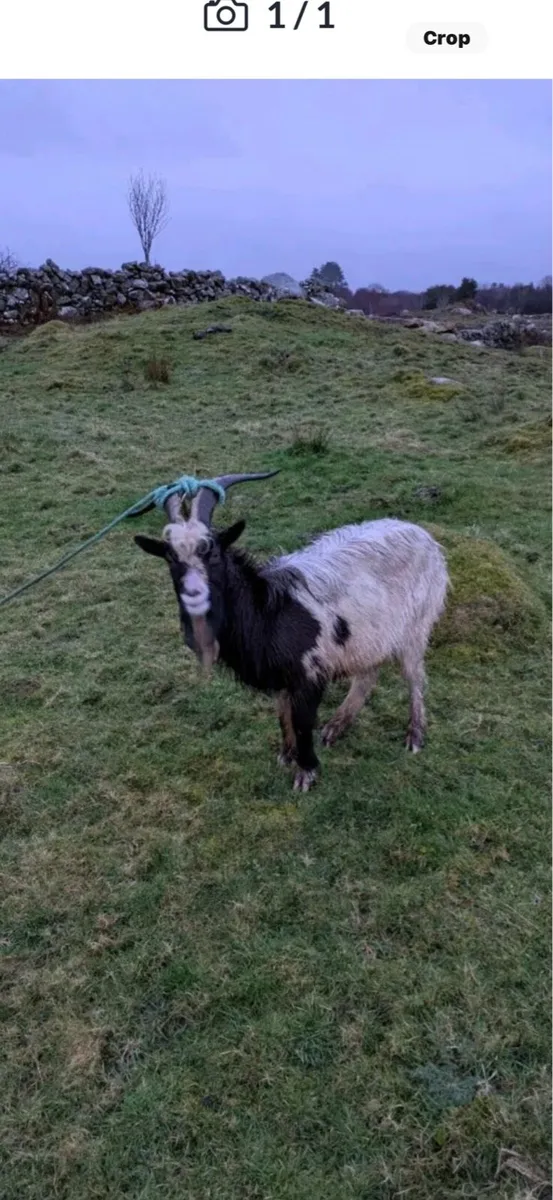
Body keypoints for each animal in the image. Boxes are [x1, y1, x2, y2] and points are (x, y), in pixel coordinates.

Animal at [134, 471, 449, 792]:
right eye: (171, 557)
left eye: (213, 552)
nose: (194, 594)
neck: (269, 611)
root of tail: (423, 536)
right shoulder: (280, 677)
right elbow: (283, 715)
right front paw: (287, 754)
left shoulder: (309, 674)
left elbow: (302, 722)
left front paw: (306, 771)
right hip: (369, 638)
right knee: (367, 675)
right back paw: (336, 727)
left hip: (416, 626)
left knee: (414, 677)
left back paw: (415, 734)